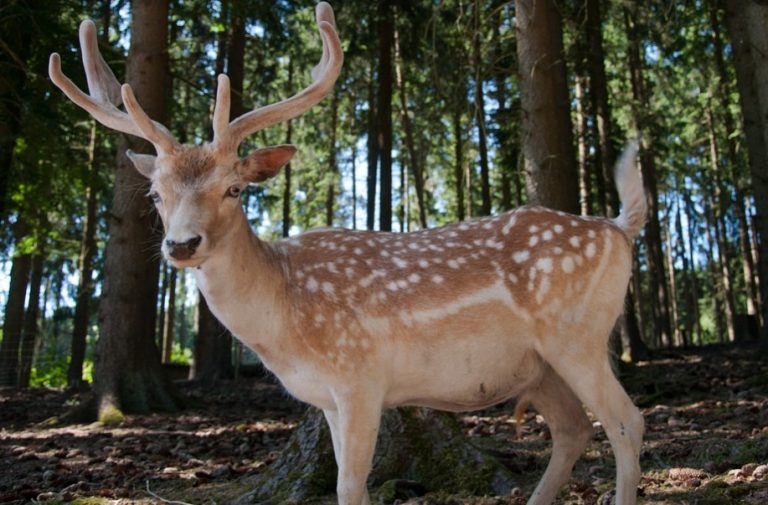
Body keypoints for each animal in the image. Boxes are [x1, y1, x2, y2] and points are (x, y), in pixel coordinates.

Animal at [49, 3, 645, 504]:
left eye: (234, 189)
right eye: (155, 194)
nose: (181, 244)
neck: (285, 316)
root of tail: (618, 228)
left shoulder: (360, 376)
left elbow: (350, 486)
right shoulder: (329, 399)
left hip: (577, 334)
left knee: (626, 421)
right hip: (539, 367)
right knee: (573, 428)